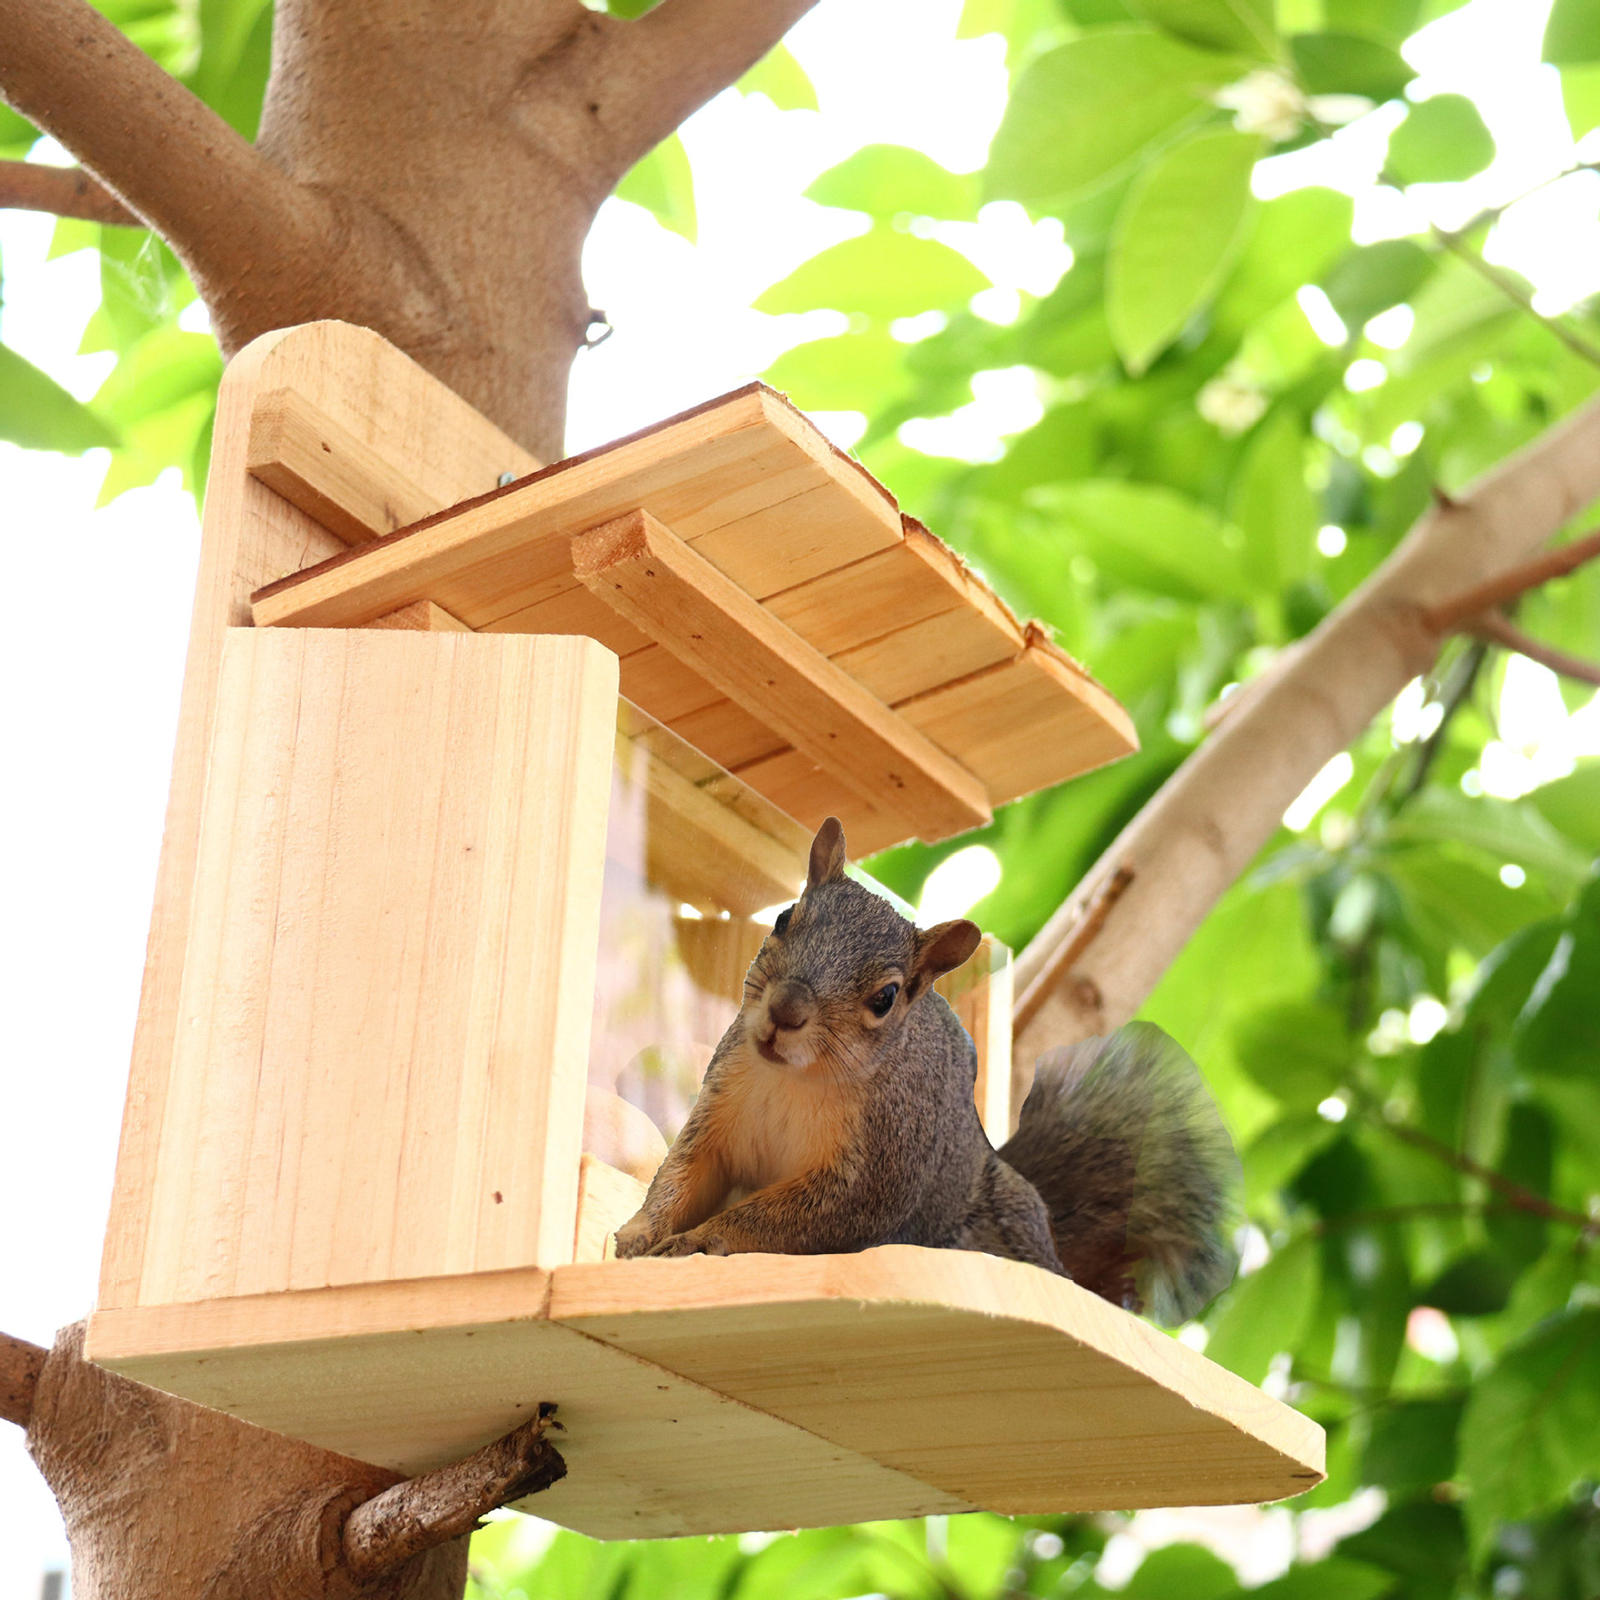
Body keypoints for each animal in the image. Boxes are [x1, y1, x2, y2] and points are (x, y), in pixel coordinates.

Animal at [617, 812, 1241, 1324]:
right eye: (784, 919)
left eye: (886, 997)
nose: (785, 1011)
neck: (795, 1079)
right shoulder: (724, 1104)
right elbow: (687, 1169)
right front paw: (642, 1229)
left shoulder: (874, 1171)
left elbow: (781, 1220)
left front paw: (702, 1240)